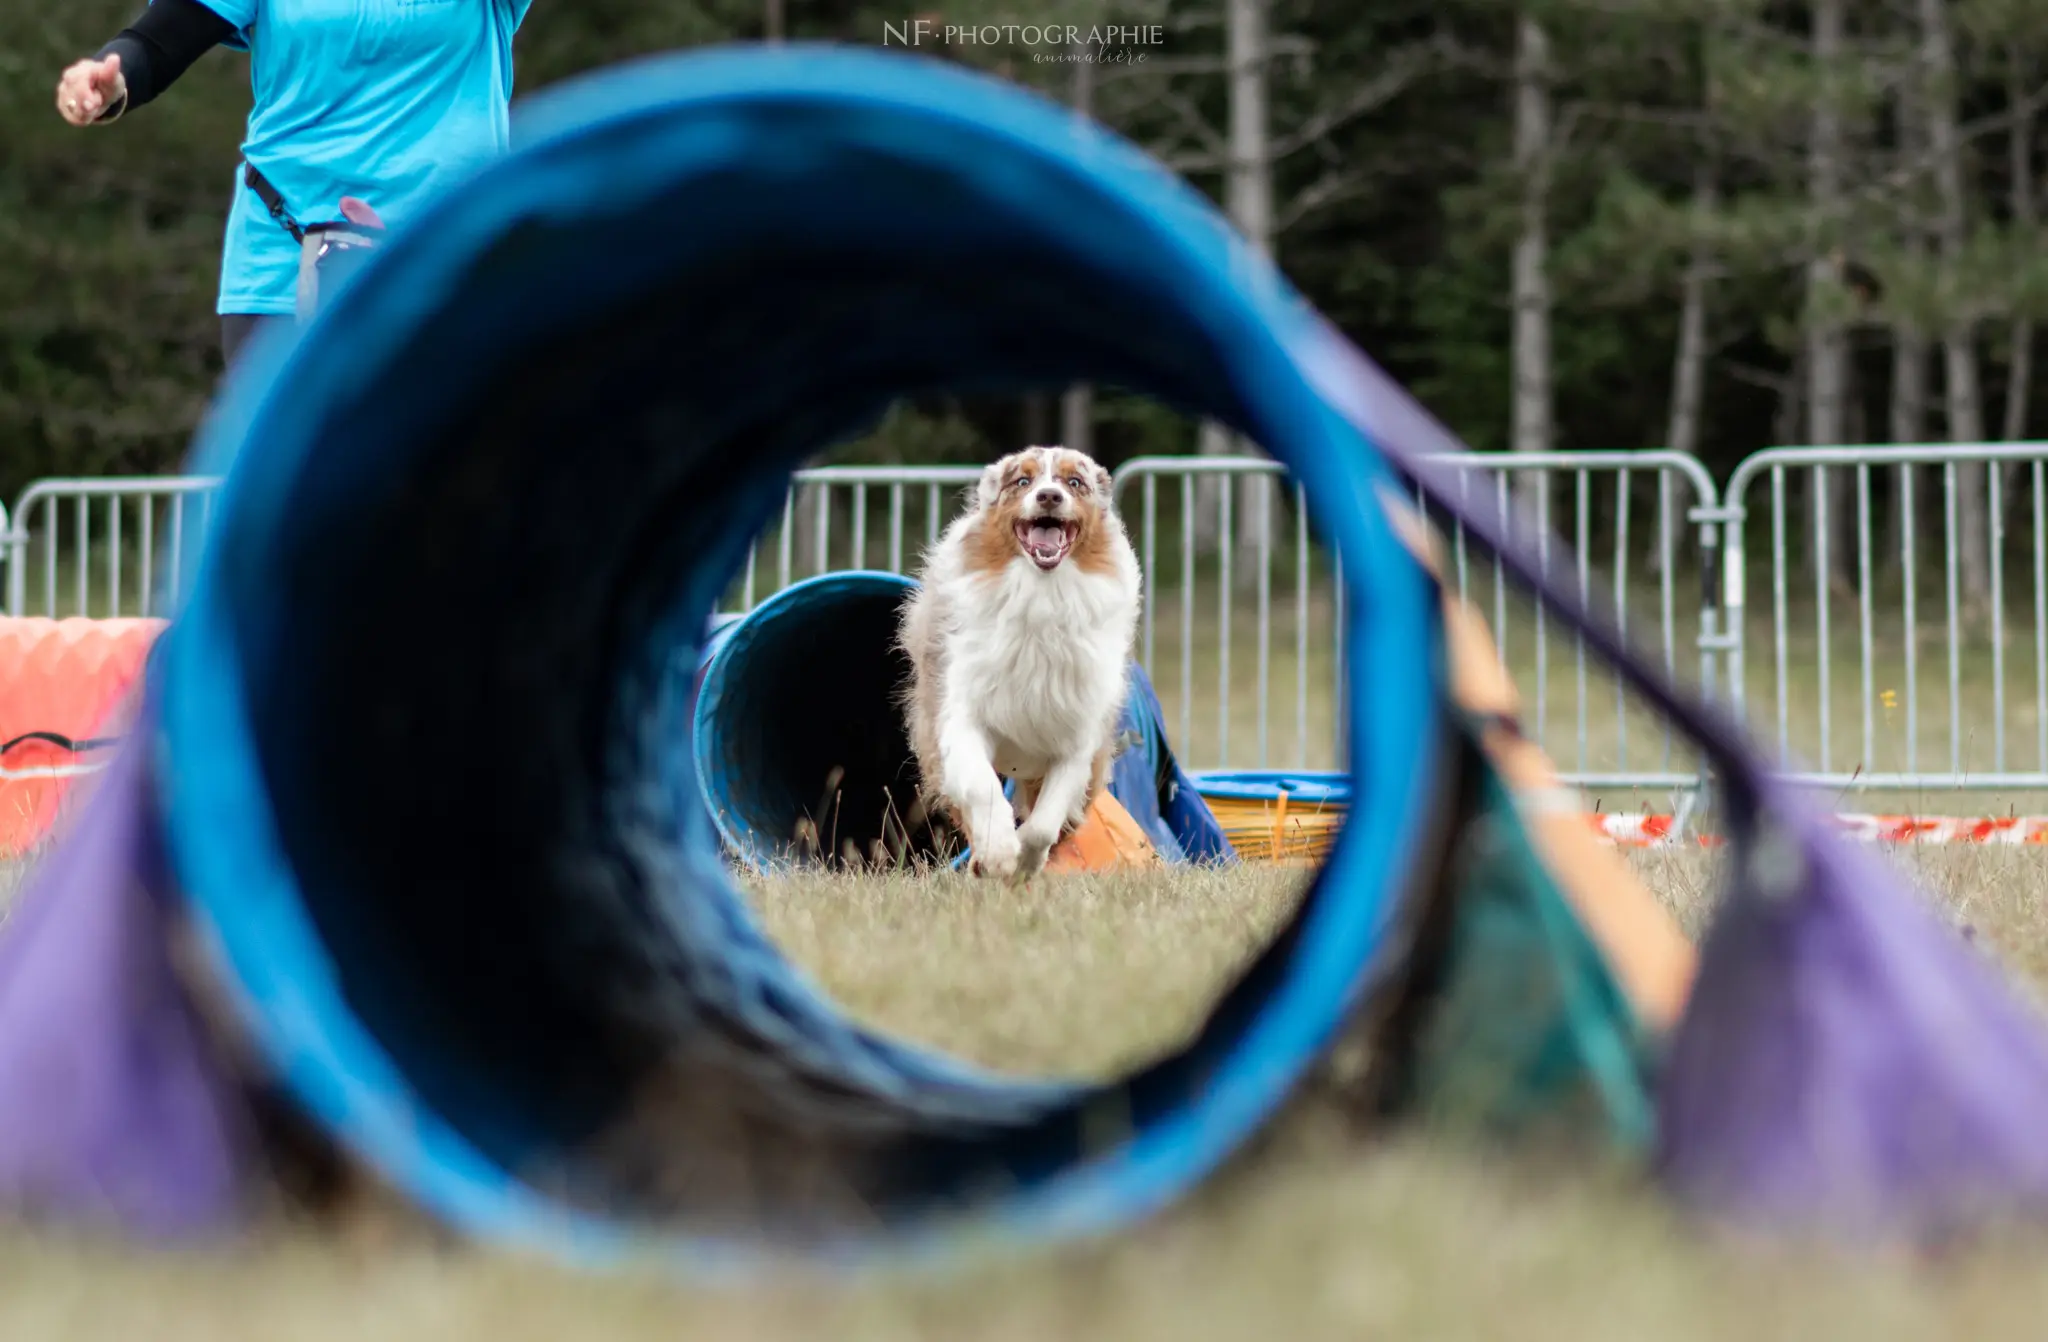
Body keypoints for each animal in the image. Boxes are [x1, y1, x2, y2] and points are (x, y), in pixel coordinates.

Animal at [897, 440, 1146, 881]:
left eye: (1074, 482)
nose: (1049, 496)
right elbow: (982, 788)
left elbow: (1044, 822)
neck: (1041, 594)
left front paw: (1025, 863)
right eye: (1022, 482)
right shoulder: (961, 716)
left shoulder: (1076, 738)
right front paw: (998, 853)